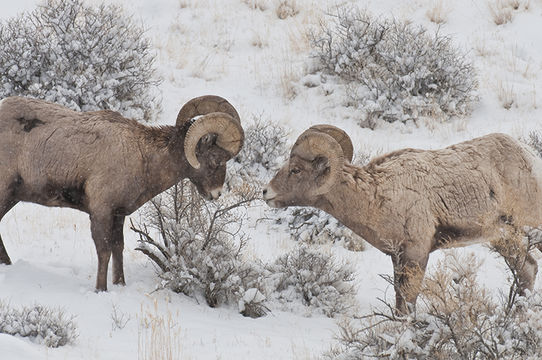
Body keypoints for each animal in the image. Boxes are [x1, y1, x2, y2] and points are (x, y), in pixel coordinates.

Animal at [0, 96, 244, 292]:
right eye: (216, 159)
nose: (216, 194)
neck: (143, 158)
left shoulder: (118, 215)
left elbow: (118, 248)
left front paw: (120, 284)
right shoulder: (101, 212)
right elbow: (104, 250)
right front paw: (101, 289)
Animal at [266, 126, 542, 312]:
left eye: (296, 170)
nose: (266, 192)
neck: (376, 198)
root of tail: (530, 158)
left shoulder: (416, 255)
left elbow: (407, 306)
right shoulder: (397, 258)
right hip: (503, 238)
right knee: (526, 270)